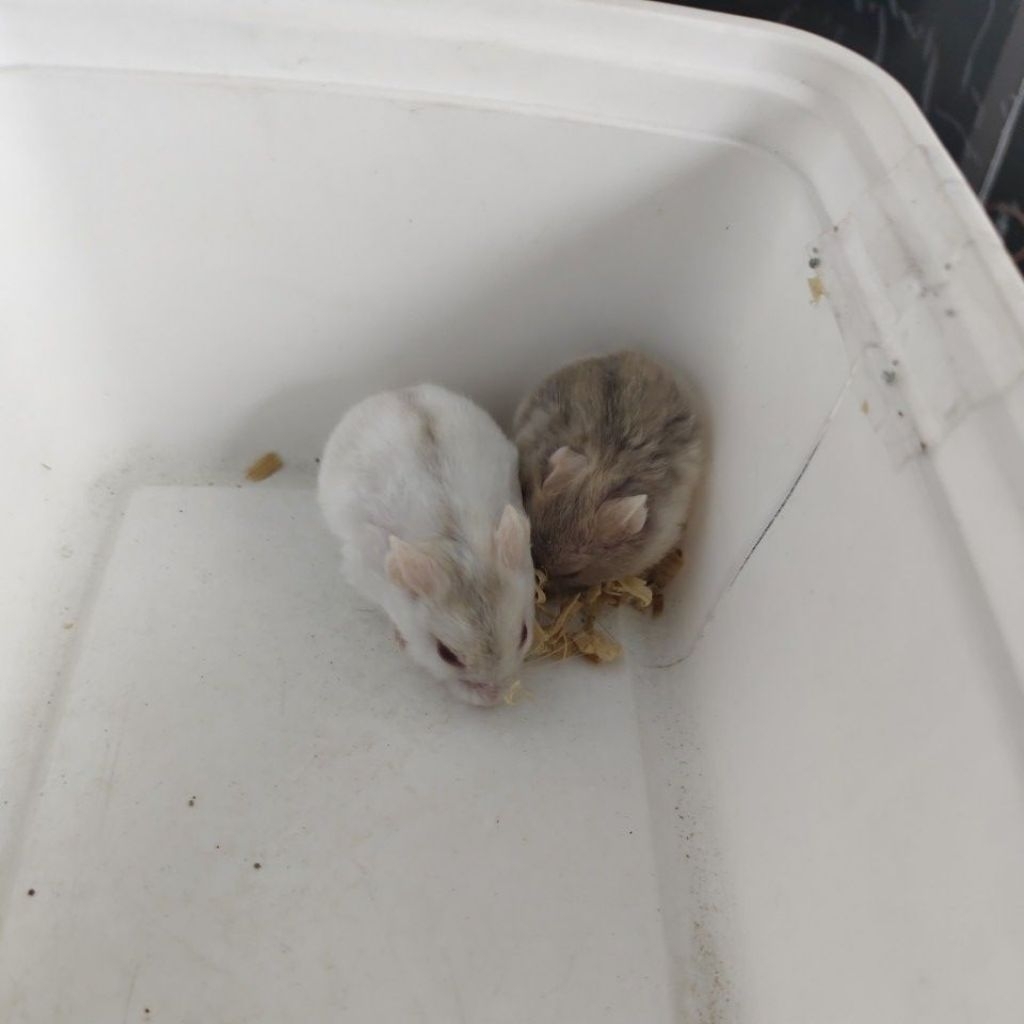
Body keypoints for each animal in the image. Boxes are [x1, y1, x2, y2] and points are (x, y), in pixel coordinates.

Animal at [318, 384, 535, 707]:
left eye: (523, 633)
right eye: (445, 654)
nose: (493, 697)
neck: (459, 549)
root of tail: (395, 391)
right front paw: (399, 640)